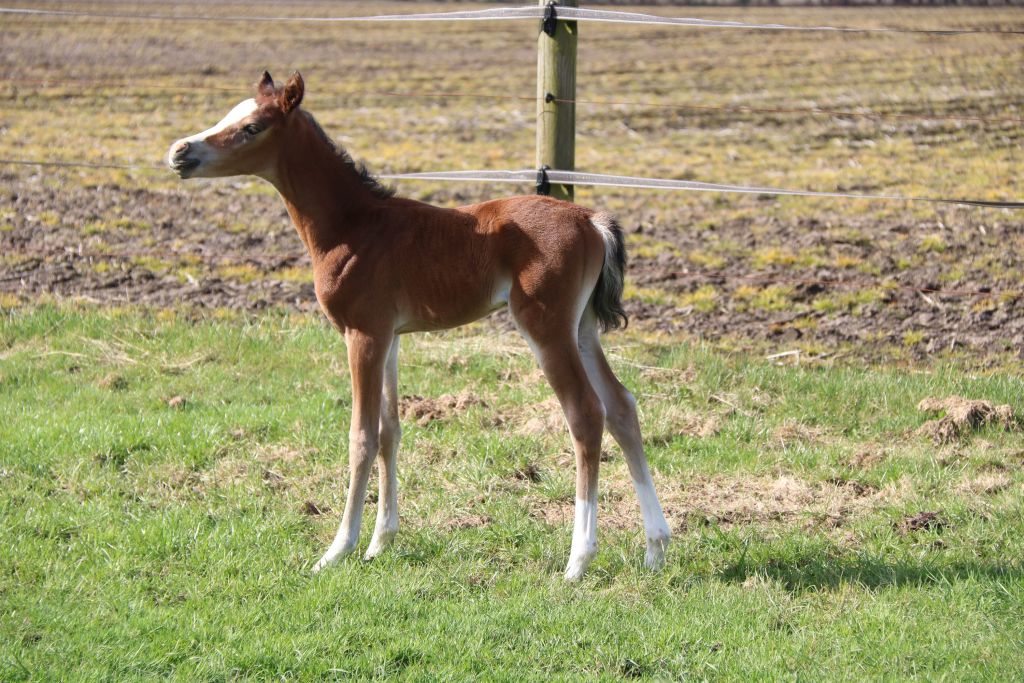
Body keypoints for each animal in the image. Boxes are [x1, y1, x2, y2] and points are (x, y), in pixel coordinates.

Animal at [165, 72, 671, 581]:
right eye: (230, 114)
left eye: (252, 127)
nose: (180, 152)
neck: (354, 227)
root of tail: (591, 220)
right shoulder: (389, 337)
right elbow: (390, 429)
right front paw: (379, 543)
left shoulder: (363, 335)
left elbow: (362, 436)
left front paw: (337, 550)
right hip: (581, 328)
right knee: (622, 406)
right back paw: (655, 547)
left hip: (546, 326)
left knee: (585, 413)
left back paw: (578, 560)